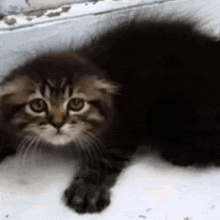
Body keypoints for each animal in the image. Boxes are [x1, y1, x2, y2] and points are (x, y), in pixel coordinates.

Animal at [1, 17, 220, 213]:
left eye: (76, 103)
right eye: (38, 105)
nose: (57, 123)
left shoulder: (121, 131)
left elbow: (102, 162)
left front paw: (88, 191)